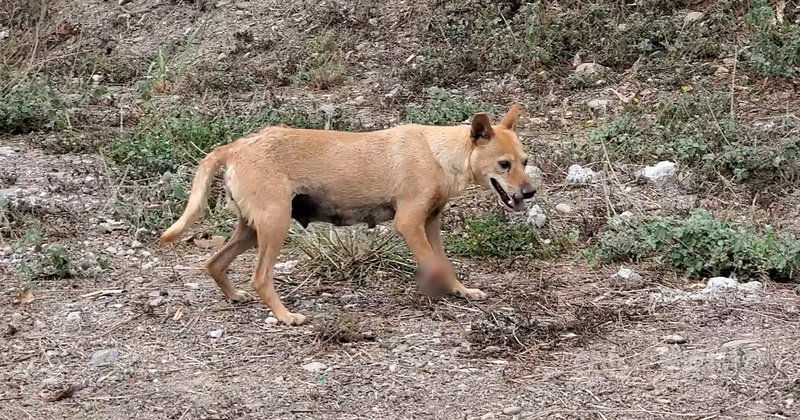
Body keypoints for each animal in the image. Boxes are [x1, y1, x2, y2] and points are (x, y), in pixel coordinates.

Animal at [161, 104, 536, 324]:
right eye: (504, 165)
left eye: (525, 161)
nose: (530, 192)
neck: (438, 153)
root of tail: (235, 147)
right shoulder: (409, 224)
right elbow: (436, 265)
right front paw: (432, 287)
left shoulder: (430, 223)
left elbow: (446, 264)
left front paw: (461, 292)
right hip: (275, 226)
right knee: (260, 278)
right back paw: (286, 316)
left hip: (252, 230)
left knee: (214, 263)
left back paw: (234, 296)